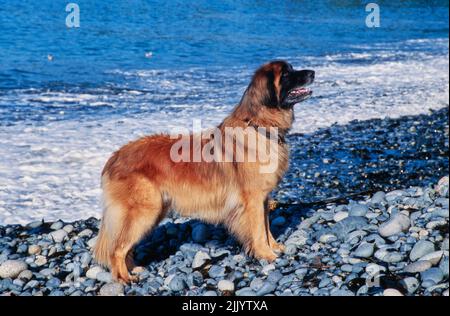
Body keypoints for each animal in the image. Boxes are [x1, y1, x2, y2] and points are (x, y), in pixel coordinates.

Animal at [93, 60, 314, 282]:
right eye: (286, 74)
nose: (312, 72)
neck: (258, 126)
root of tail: (113, 158)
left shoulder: (264, 198)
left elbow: (267, 228)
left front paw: (274, 247)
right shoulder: (253, 200)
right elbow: (260, 230)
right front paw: (267, 255)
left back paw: (133, 269)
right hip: (144, 211)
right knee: (117, 249)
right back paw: (125, 278)